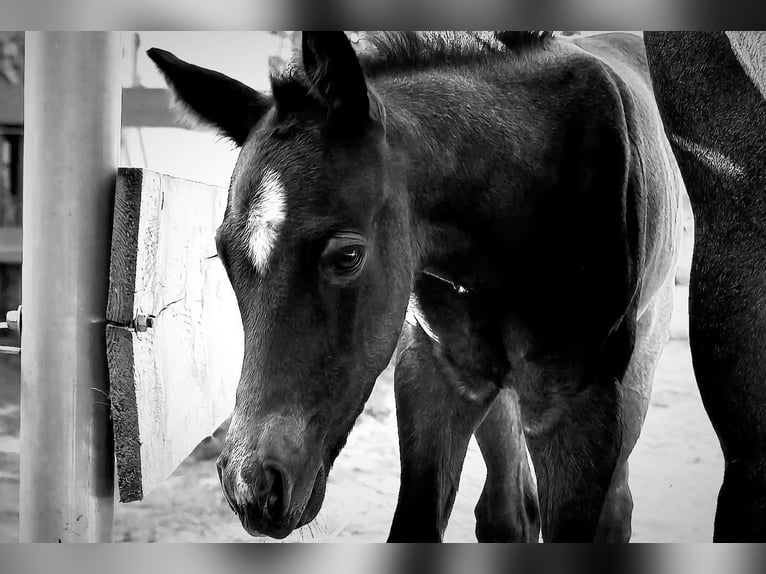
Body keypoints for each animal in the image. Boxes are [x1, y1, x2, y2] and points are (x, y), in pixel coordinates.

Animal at [148, 30, 682, 542]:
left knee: (614, 506)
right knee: (508, 511)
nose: (253, 488)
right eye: (225, 256)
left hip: (635, 373)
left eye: (348, 255)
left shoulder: (576, 403)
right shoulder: (436, 373)